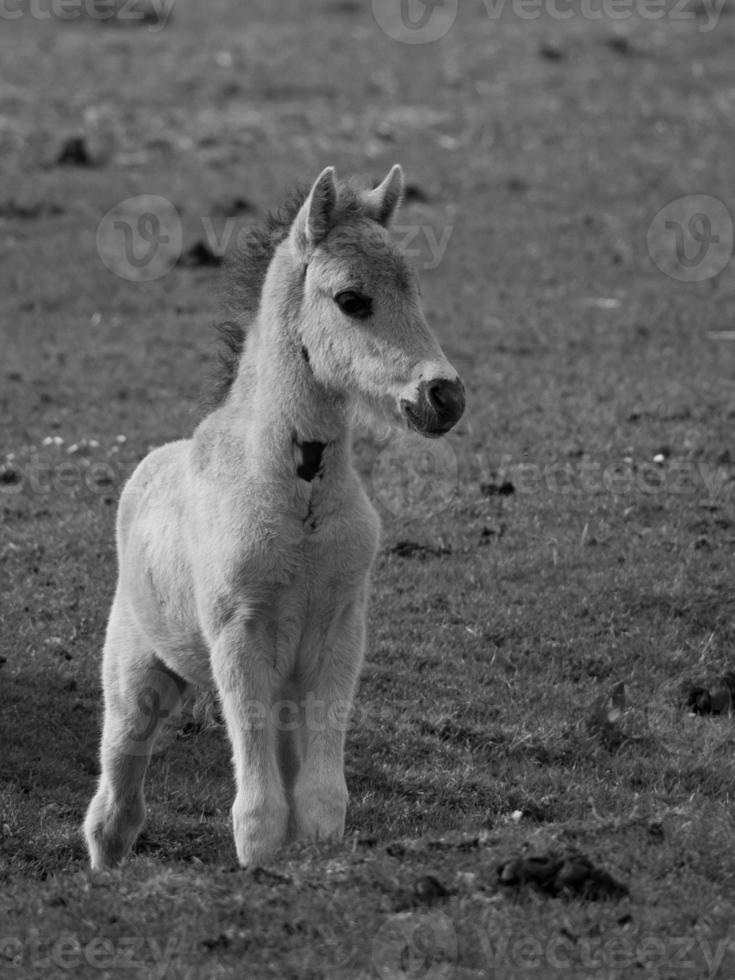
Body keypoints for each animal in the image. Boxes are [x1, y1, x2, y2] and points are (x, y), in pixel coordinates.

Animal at [85, 167, 466, 864]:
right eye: (351, 299)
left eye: (414, 292)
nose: (444, 396)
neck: (299, 496)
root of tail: (145, 471)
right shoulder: (241, 636)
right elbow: (260, 811)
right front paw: (260, 864)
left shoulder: (340, 632)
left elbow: (318, 800)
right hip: (135, 677)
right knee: (115, 802)